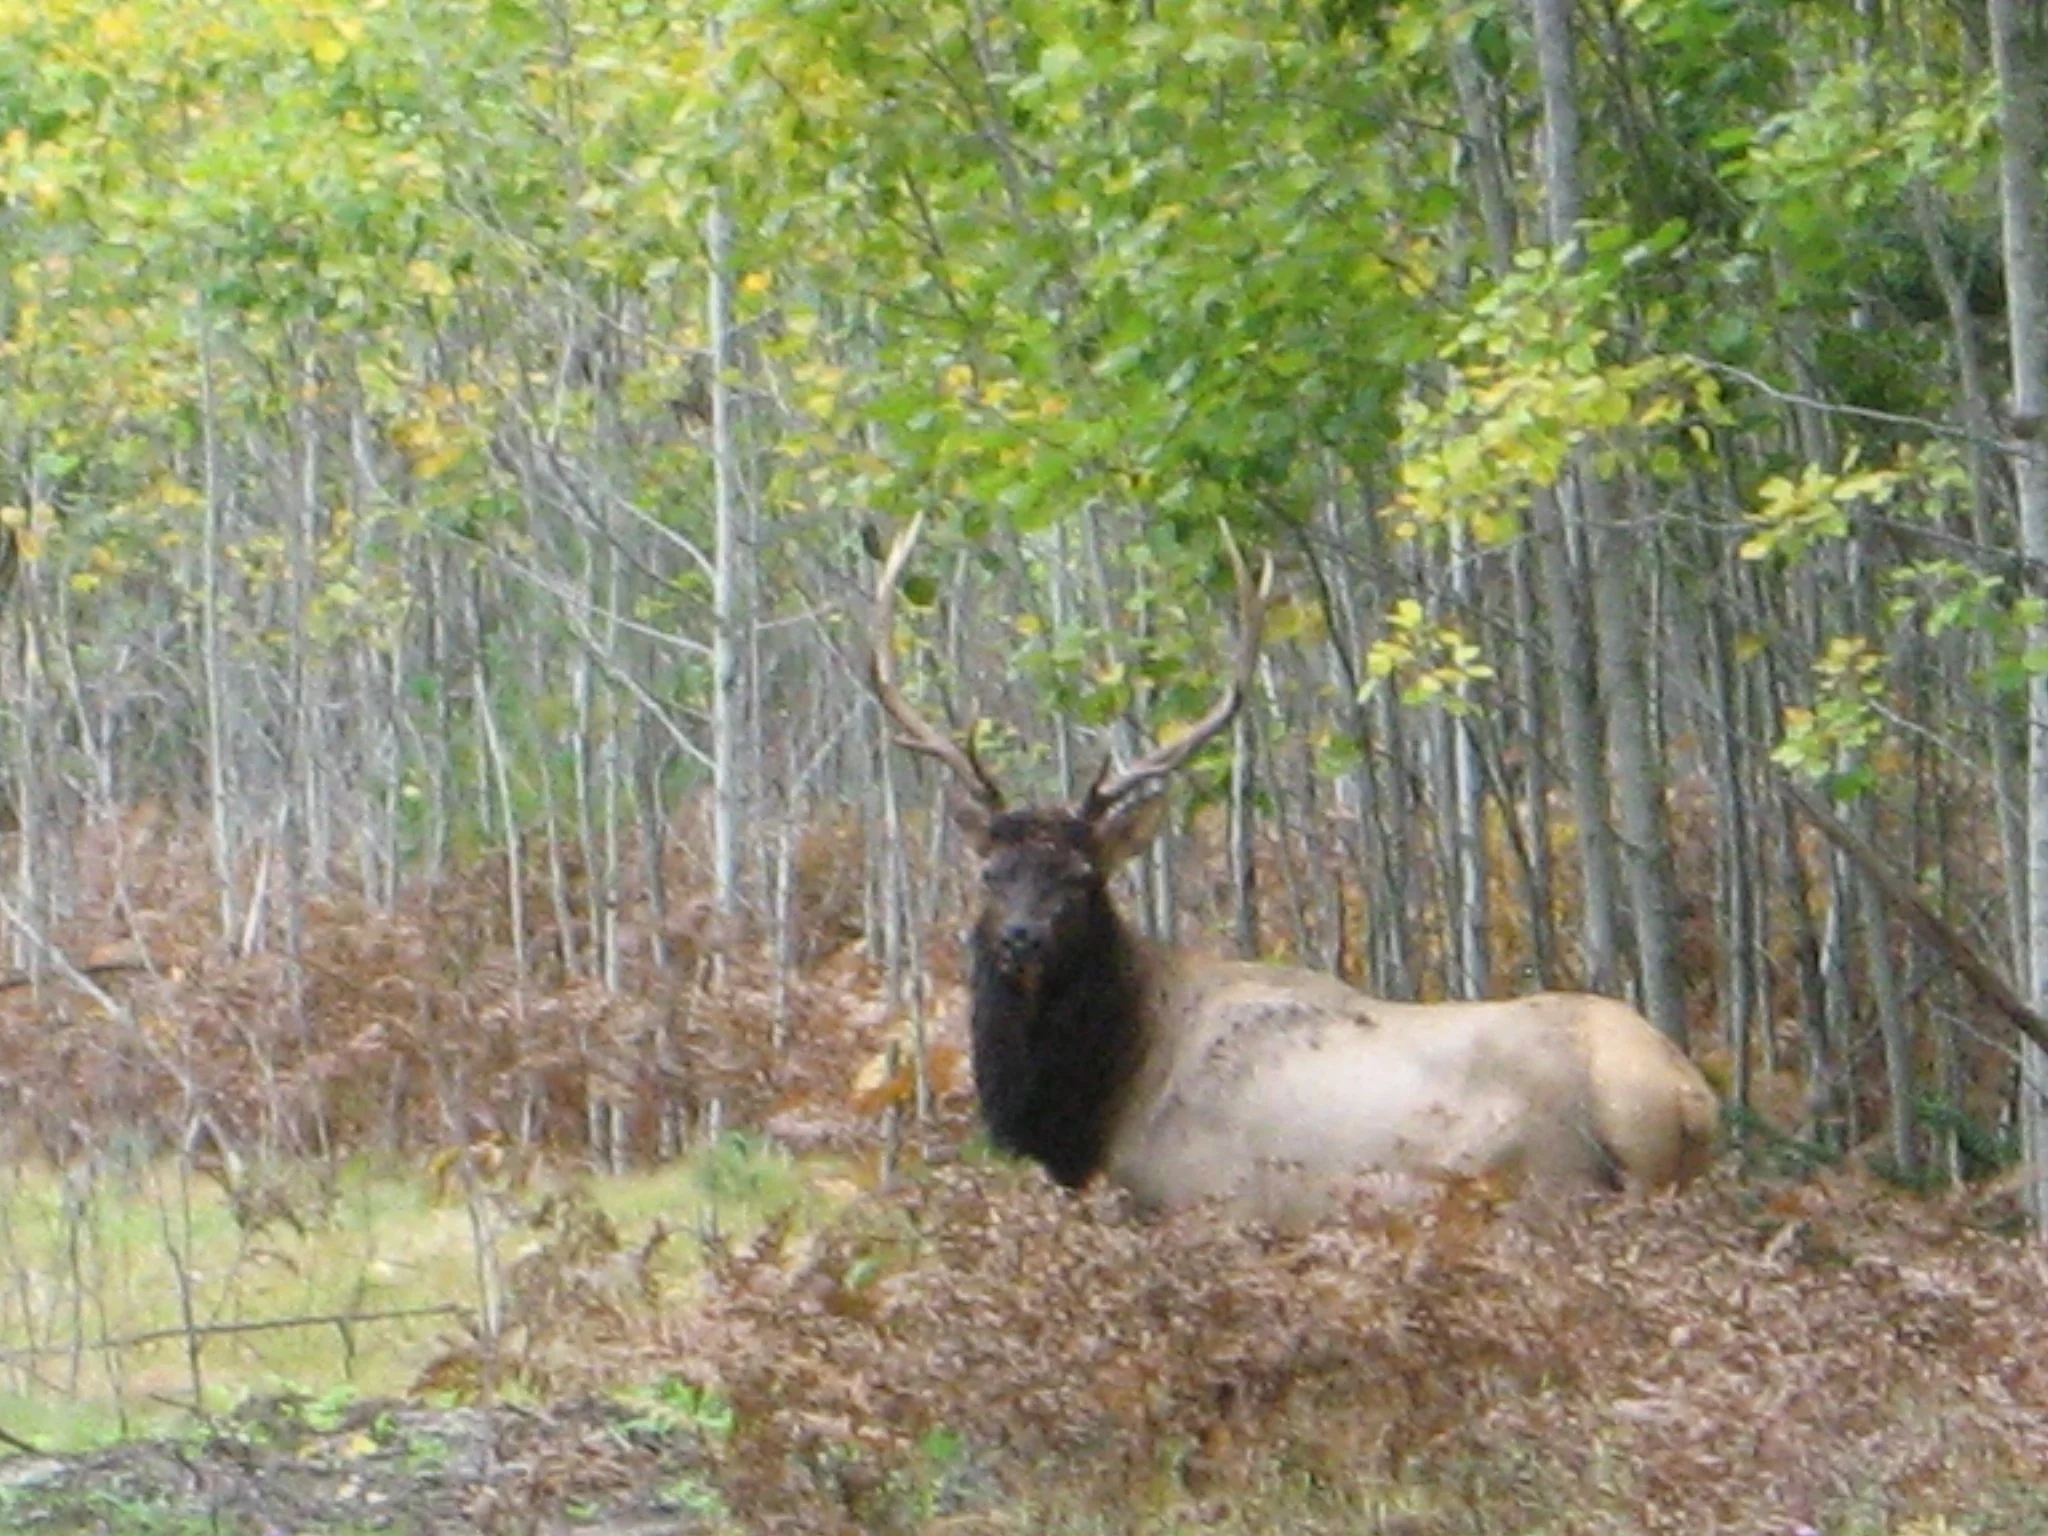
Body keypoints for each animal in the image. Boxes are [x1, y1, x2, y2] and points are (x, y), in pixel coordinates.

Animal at [866, 513, 1720, 1224]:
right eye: (989, 873)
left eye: (1083, 878)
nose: (1021, 938)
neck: (1096, 1110)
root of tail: (1687, 1097)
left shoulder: (1203, 1197)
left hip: (1547, 1177)